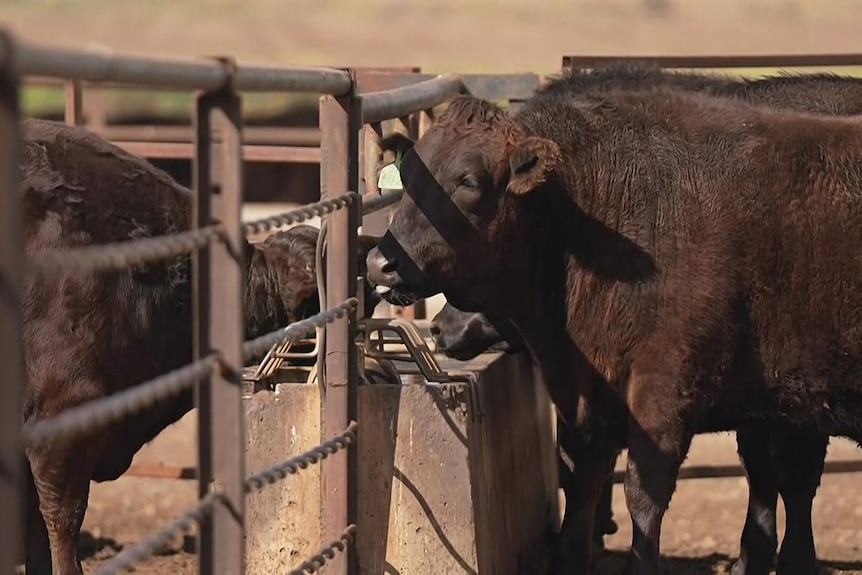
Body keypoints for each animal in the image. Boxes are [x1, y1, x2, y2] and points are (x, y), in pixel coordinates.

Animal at [370, 91, 862, 575]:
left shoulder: (665, 389)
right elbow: (581, 481)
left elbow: (645, 494)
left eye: (468, 181)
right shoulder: (588, 398)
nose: (380, 262)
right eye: (408, 175)